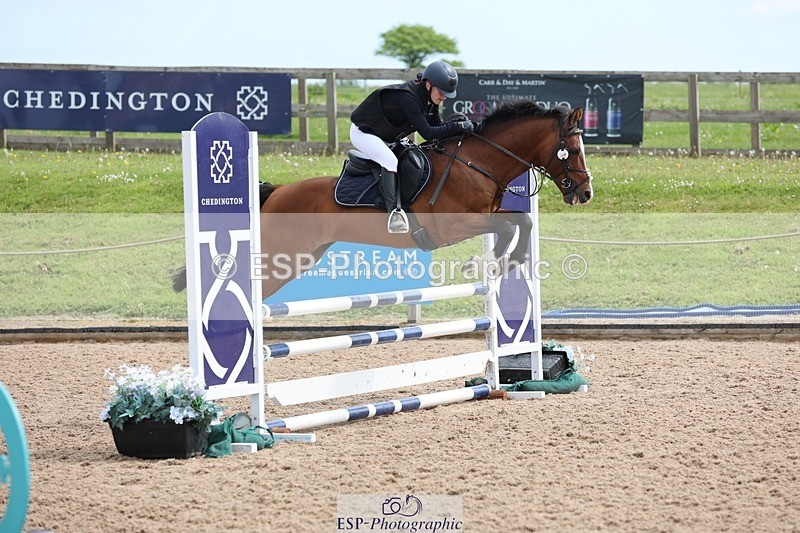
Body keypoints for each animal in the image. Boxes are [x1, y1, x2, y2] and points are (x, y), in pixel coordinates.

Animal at [175, 100, 593, 297]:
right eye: (572, 150)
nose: (586, 193)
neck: (478, 161)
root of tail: (277, 191)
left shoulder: (486, 216)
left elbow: (522, 221)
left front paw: (501, 264)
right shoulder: (456, 224)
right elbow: (509, 226)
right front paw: (483, 263)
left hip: (302, 256)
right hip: (284, 253)